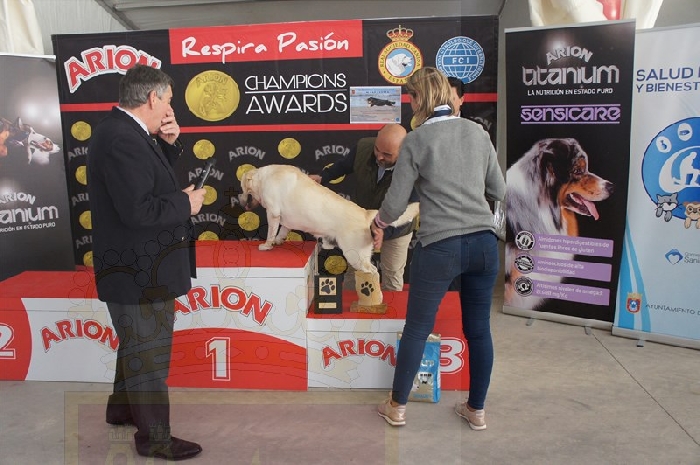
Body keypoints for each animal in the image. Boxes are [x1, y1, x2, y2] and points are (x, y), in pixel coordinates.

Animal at [237, 164, 419, 276]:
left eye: (242, 188)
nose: (238, 198)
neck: (262, 178)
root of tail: (366, 213)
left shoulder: (273, 212)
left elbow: (271, 231)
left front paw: (267, 245)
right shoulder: (283, 219)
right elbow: (283, 229)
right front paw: (279, 241)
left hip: (354, 254)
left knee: (372, 270)